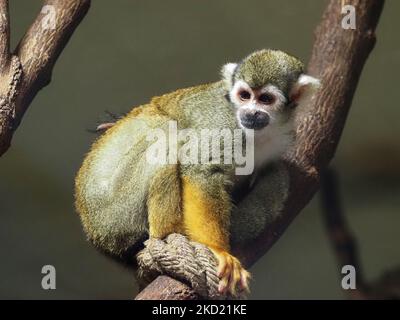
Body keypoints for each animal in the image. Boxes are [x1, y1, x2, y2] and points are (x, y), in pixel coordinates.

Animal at [74, 48, 318, 296]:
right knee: (168, 135)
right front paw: (216, 249)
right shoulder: (225, 126)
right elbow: (201, 169)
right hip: (114, 210)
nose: (250, 113)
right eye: (245, 95)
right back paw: (167, 236)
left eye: (265, 99)